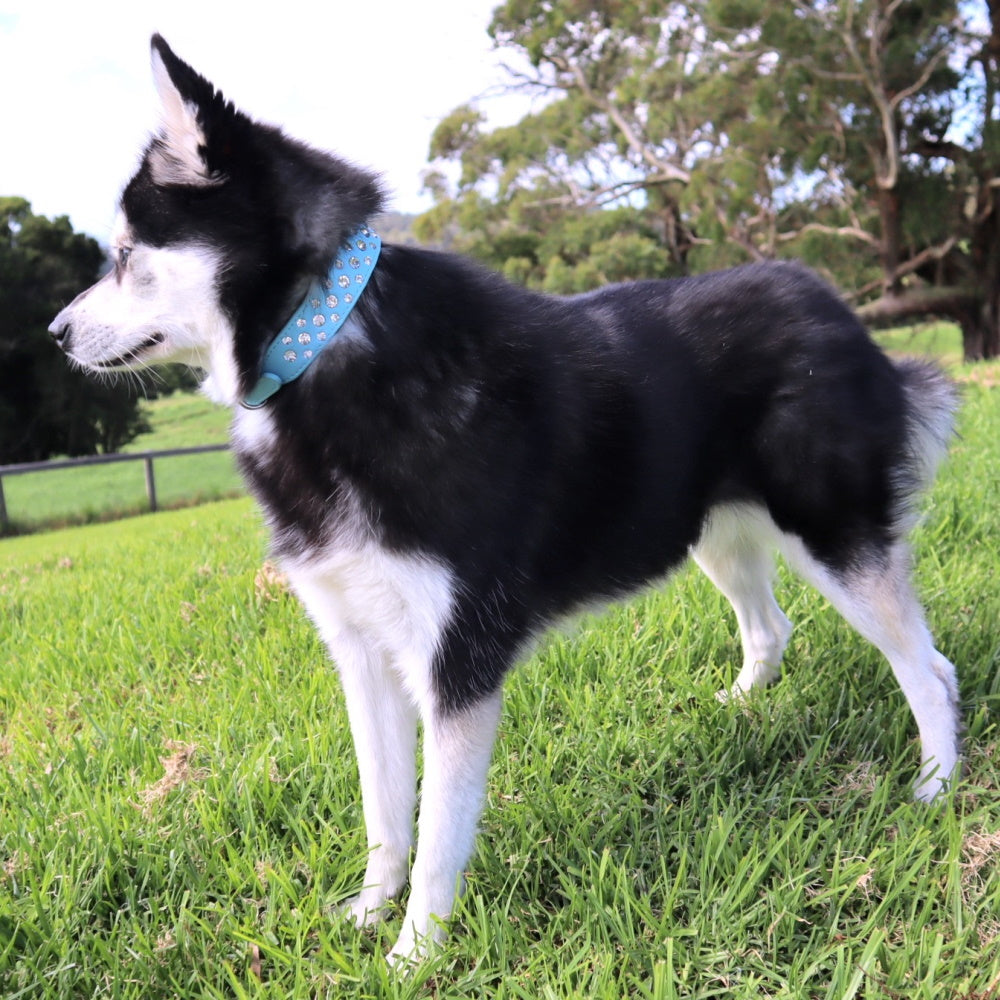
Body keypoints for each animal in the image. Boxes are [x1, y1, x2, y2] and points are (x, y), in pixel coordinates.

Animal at [48, 37, 960, 960]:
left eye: (124, 255)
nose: (54, 333)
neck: (323, 339)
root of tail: (835, 305)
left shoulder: (456, 659)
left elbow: (438, 836)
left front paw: (413, 954)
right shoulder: (360, 650)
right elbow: (386, 814)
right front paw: (369, 912)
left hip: (831, 534)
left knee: (926, 667)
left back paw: (936, 785)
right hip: (711, 530)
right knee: (780, 627)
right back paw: (746, 710)